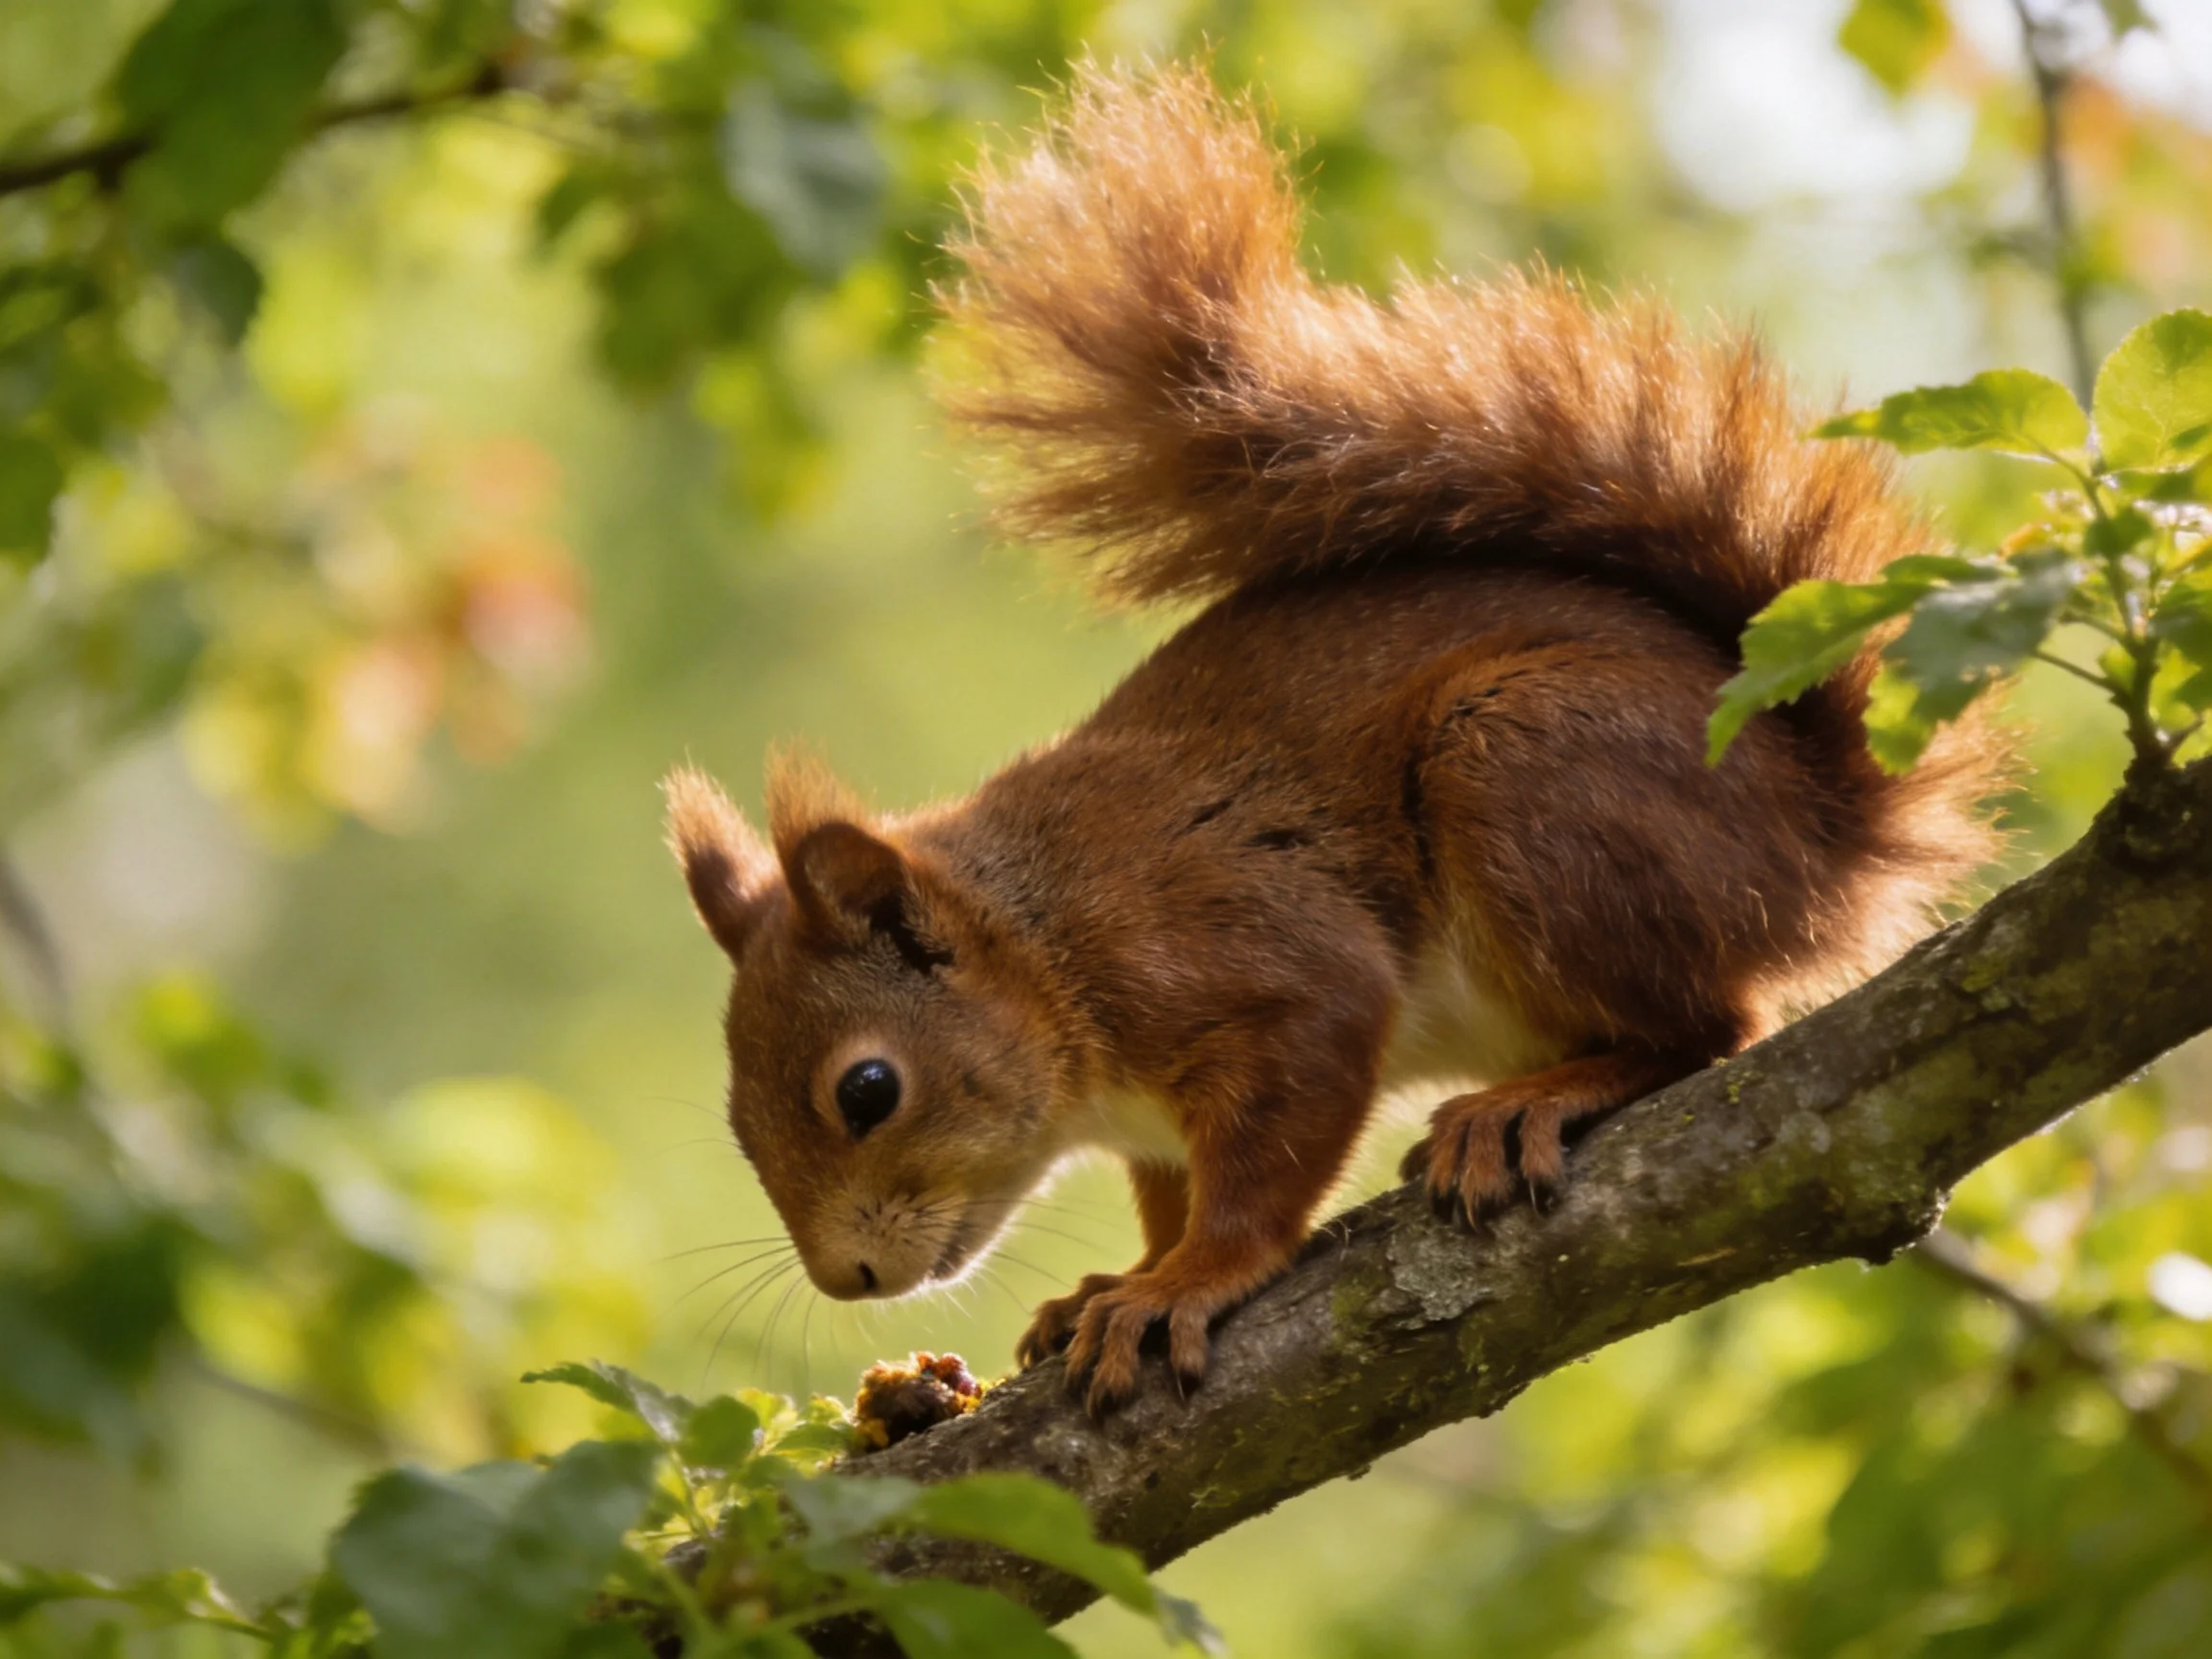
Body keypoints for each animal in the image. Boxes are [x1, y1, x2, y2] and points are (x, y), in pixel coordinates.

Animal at [663, 65, 2002, 1414]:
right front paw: (1116, 1281)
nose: (849, 1282)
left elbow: (1270, 1151)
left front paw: (1184, 1283)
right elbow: (1169, 1193)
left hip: (1530, 769)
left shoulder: (1251, 959)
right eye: (732, 1119)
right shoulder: (1156, 1125)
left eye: (867, 1089)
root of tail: (1826, 828)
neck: (1044, 942)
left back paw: (1529, 1104)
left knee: (1710, 1029)